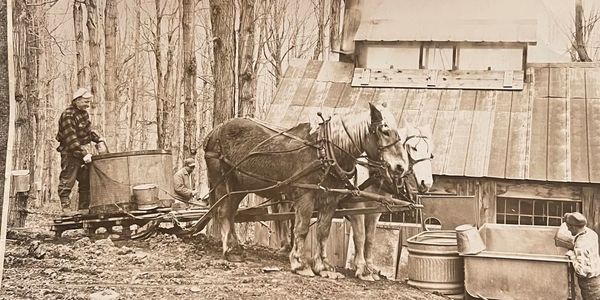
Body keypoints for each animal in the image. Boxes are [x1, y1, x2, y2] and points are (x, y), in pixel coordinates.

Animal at [203, 103, 408, 278]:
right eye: (384, 131)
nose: (401, 167)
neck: (325, 151)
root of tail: (215, 130)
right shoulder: (306, 196)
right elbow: (301, 229)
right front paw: (300, 264)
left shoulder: (330, 199)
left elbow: (323, 231)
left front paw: (323, 267)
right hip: (223, 182)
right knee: (224, 212)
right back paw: (230, 251)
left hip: (240, 187)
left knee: (231, 213)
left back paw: (236, 247)